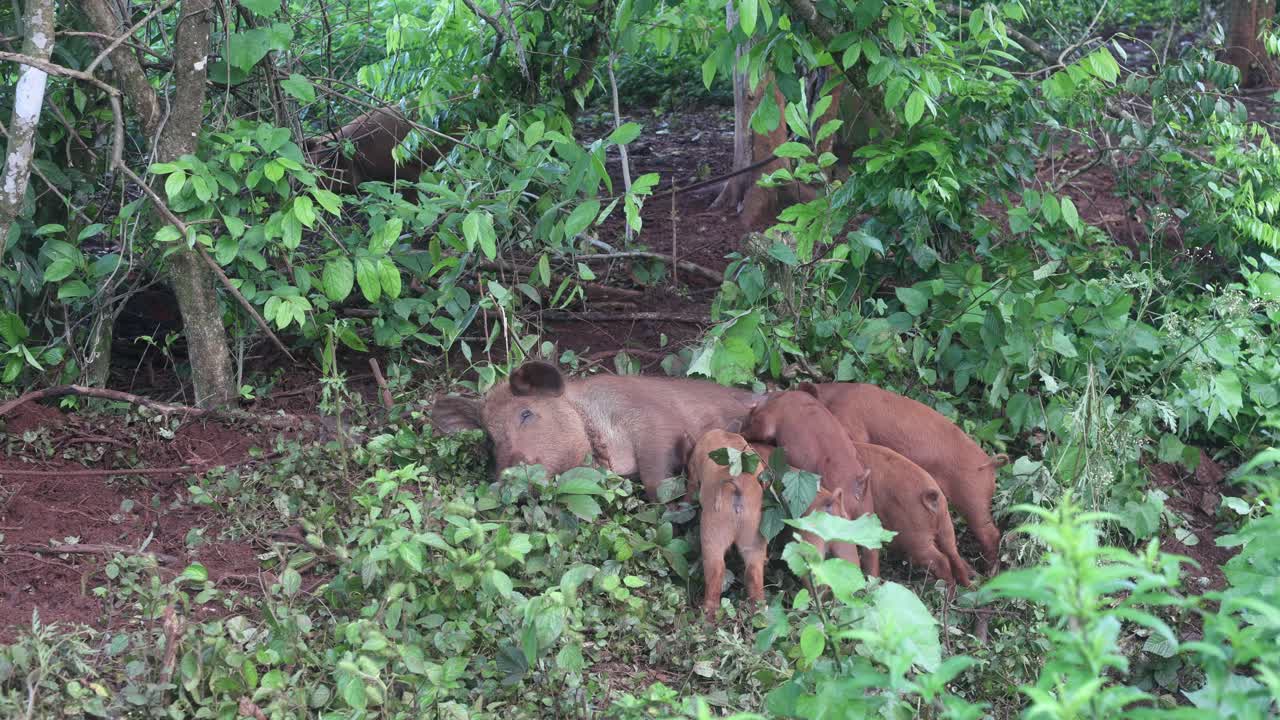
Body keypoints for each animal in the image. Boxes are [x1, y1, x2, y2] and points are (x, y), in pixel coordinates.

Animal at [853, 441, 973, 587]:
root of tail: (932, 496)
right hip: (946, 526)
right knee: (953, 554)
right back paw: (968, 586)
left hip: (914, 536)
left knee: (940, 561)